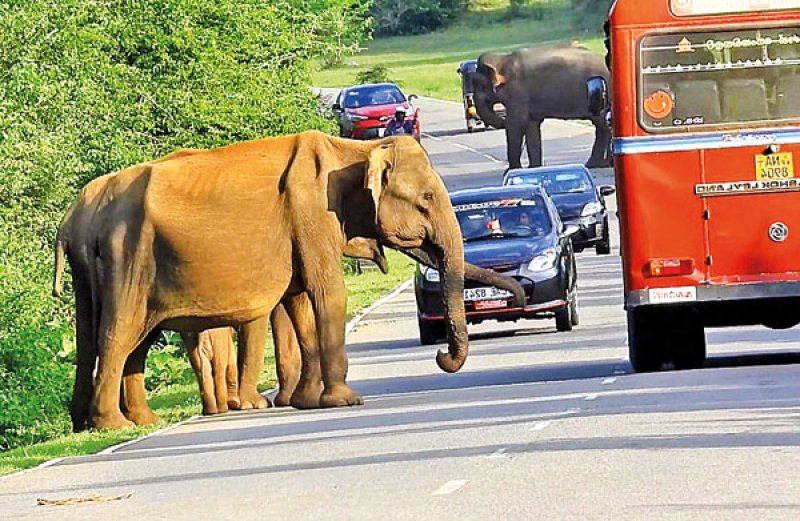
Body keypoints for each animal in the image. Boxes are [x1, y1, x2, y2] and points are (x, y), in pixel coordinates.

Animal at [52, 131, 491, 430]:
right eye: (428, 199)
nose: (442, 357)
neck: (355, 149)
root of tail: (75, 219)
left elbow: (299, 303)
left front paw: (309, 402)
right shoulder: (312, 213)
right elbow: (327, 294)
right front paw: (347, 402)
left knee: (125, 339)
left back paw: (137, 422)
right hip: (127, 257)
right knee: (120, 334)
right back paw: (115, 425)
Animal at [475, 45, 612, 169]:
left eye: (480, 85)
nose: (501, 120)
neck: (503, 58)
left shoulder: (518, 92)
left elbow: (516, 123)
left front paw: (512, 170)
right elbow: (531, 126)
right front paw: (534, 168)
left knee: (603, 126)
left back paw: (600, 164)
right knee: (602, 126)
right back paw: (597, 164)